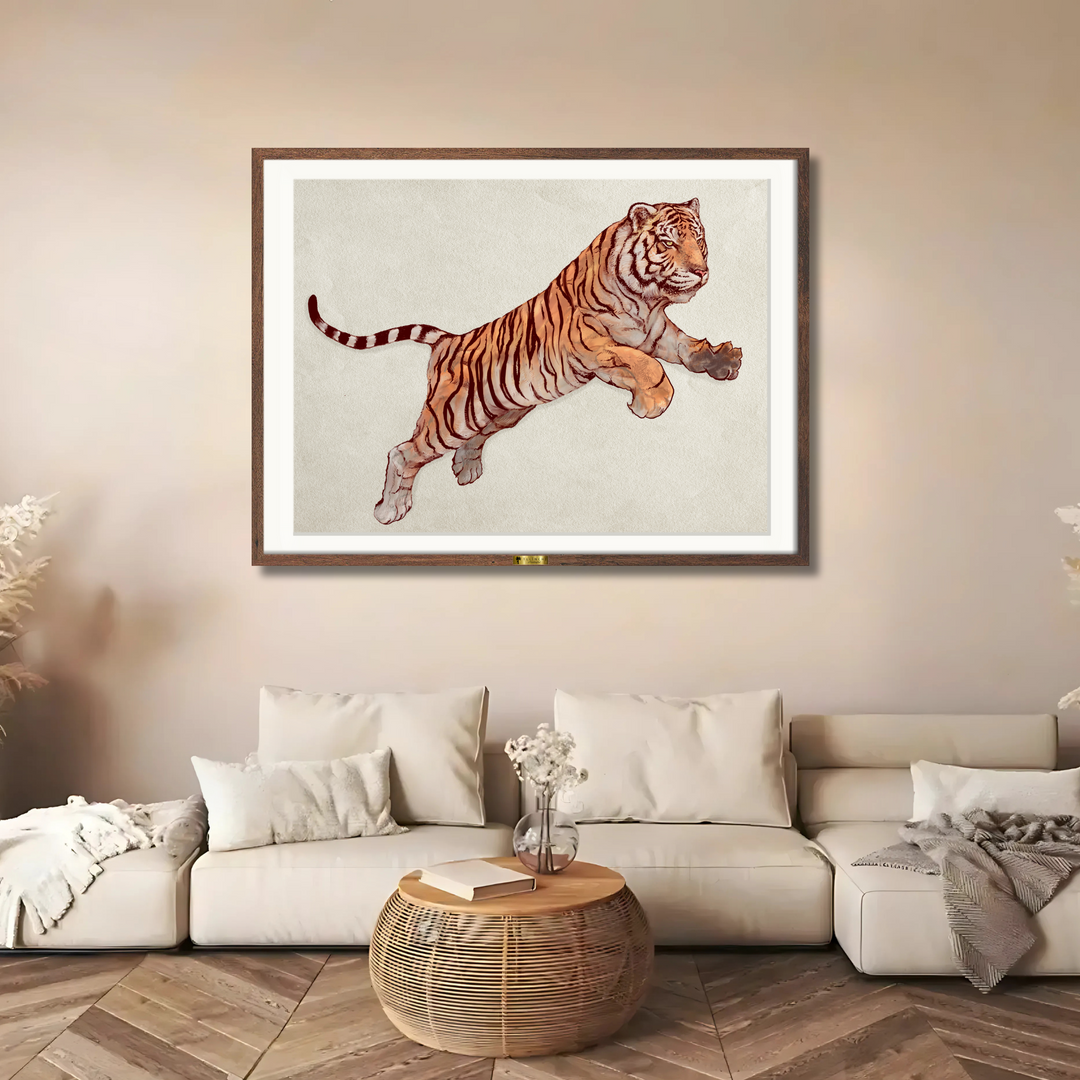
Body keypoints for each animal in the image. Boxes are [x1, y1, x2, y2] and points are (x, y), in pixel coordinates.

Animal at [308, 197, 742, 525]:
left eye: (699, 239)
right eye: (668, 243)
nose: (701, 271)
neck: (646, 300)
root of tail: (448, 340)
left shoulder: (656, 331)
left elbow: (686, 347)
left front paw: (723, 361)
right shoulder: (589, 341)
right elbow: (647, 365)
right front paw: (652, 402)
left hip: (502, 409)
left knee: (473, 439)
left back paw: (466, 471)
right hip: (452, 417)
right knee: (404, 451)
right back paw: (390, 510)